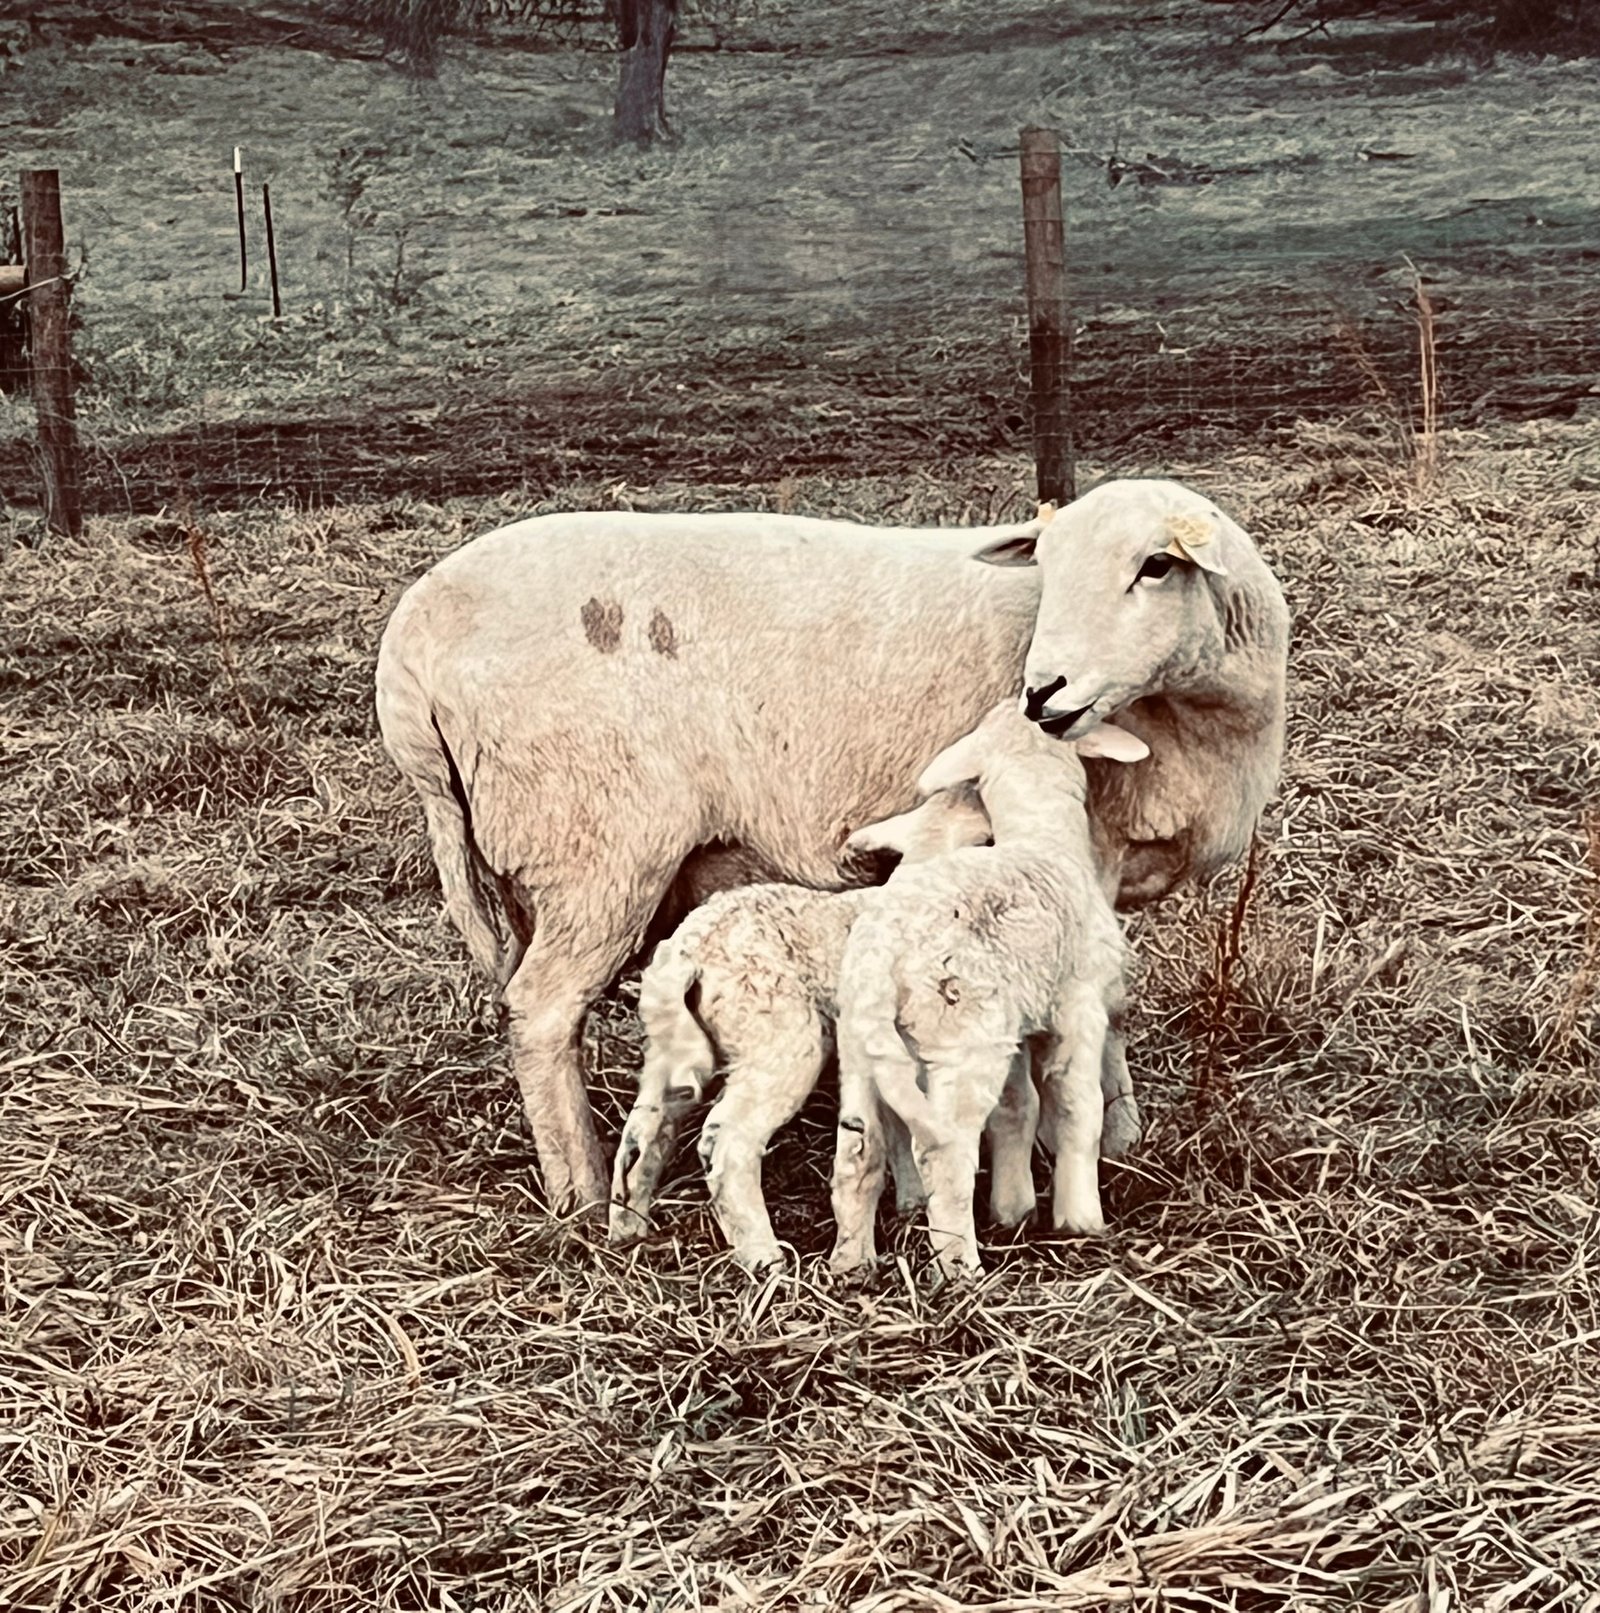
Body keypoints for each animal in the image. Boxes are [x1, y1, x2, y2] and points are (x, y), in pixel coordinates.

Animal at [375, 478, 1288, 1216]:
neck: (1200, 713)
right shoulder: (1084, 851)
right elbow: (1103, 1005)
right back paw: (581, 1189)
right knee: (542, 1011)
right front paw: (1104, 1137)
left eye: (1156, 566)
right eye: (1048, 569)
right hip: (596, 842)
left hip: (532, 864)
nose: (1043, 692)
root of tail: (410, 646)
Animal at [607, 785, 994, 1271]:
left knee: (643, 1132)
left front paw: (910, 1207)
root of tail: (689, 952)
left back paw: (628, 1228)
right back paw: (765, 1257)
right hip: (780, 1040)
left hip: (668, 1047)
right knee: (728, 1143)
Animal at [829, 703, 1149, 1279]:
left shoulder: (1019, 1027)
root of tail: (884, 965)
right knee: (945, 1153)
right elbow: (1078, 1106)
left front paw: (1013, 1207)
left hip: (861, 1053)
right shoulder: (1079, 1006)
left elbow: (1017, 1108)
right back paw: (962, 1268)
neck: (1043, 838)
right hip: (963, 1042)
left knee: (857, 1153)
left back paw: (852, 1262)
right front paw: (1080, 1220)